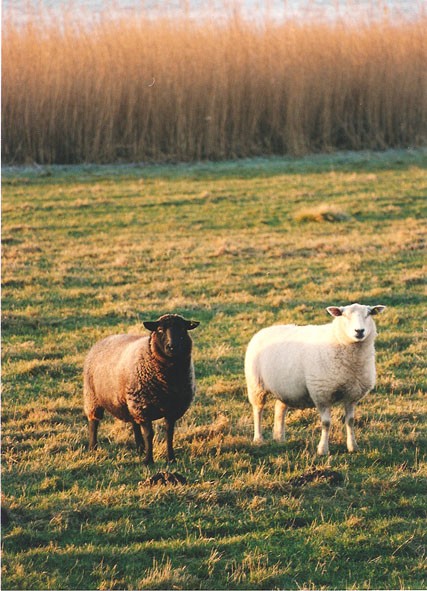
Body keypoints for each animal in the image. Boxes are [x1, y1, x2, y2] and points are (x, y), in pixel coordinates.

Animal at [83, 314, 199, 465]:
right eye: (160, 330)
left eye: (183, 329)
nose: (172, 347)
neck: (167, 379)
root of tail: (103, 340)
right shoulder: (144, 407)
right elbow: (149, 434)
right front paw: (148, 461)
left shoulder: (172, 409)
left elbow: (169, 433)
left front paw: (171, 458)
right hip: (93, 396)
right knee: (94, 422)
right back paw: (93, 448)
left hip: (131, 401)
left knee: (134, 423)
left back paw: (140, 448)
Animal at [245, 303, 386, 455]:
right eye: (344, 315)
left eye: (369, 314)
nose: (359, 331)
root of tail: (264, 330)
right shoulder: (322, 393)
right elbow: (326, 423)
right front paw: (323, 449)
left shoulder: (352, 395)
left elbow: (350, 421)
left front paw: (353, 446)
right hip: (256, 385)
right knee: (258, 410)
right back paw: (258, 439)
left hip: (285, 388)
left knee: (280, 408)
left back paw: (279, 438)